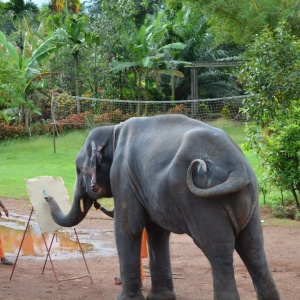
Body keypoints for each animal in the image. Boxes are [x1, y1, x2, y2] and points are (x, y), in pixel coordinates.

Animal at [45, 114, 282, 300]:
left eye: (79, 170)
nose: (45, 194)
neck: (113, 131)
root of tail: (237, 169)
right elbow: (157, 232)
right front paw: (161, 297)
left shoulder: (123, 177)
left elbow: (129, 227)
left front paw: (126, 299)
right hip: (250, 199)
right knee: (253, 248)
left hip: (203, 204)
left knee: (219, 253)